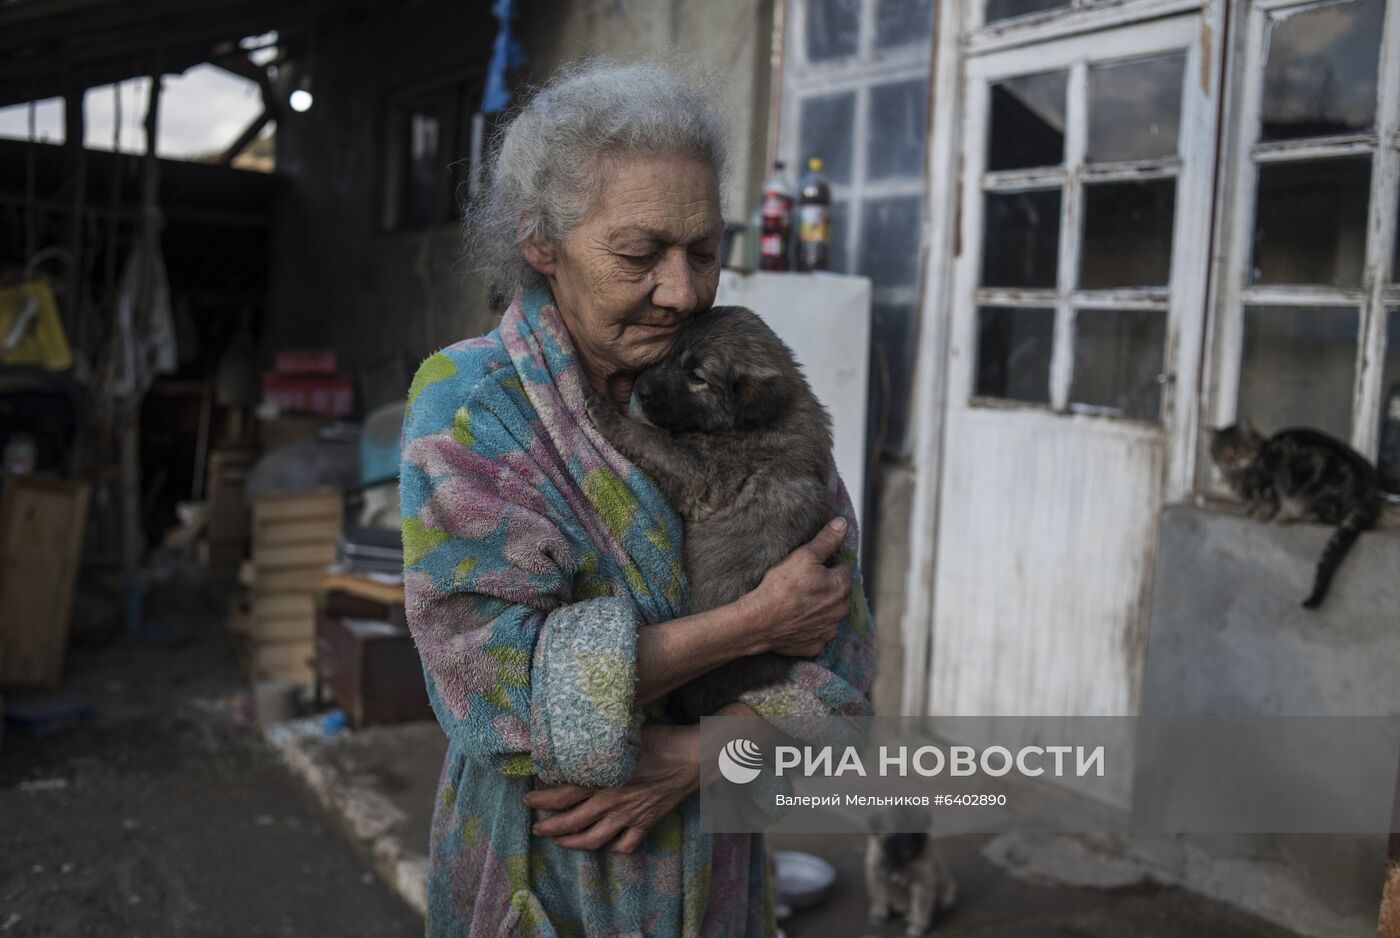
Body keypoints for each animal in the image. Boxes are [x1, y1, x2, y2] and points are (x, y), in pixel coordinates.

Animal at [588, 305, 834, 722]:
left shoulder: (699, 475)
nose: (642, 389)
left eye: (697, 377)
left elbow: (649, 438)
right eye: (670, 356)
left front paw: (606, 414)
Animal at [862, 806, 963, 935]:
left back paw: (913, 915)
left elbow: (921, 907)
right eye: (895, 830)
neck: (898, 860)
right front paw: (879, 913)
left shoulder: (922, 883)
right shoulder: (876, 875)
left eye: (915, 829)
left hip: (947, 891)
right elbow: (878, 896)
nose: (908, 848)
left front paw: (918, 926)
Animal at [1209, 425, 1383, 610]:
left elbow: (1270, 499)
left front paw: (1262, 513)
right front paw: (1251, 509)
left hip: (1314, 482)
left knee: (1329, 516)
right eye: (1219, 451)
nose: (1228, 462)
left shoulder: (1271, 480)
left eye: (1237, 449)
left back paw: (1288, 515)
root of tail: (1368, 495)